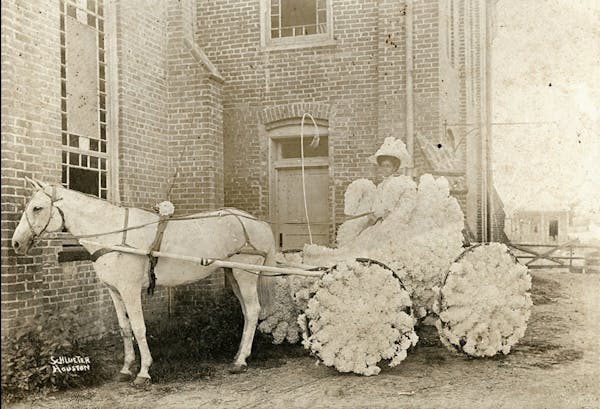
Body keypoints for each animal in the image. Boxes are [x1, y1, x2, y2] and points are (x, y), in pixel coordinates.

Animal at [9, 177, 276, 384]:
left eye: (37, 208)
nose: (16, 243)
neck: (115, 234)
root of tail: (257, 222)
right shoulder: (114, 291)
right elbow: (124, 328)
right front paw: (126, 369)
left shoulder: (130, 290)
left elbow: (139, 327)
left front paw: (144, 372)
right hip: (233, 274)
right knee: (246, 312)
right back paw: (239, 355)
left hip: (245, 273)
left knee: (253, 310)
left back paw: (240, 362)